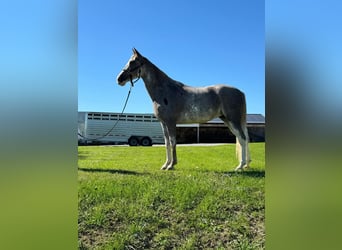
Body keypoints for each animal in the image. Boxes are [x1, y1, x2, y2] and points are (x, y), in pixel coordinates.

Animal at [116, 47, 250, 171]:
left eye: (132, 62)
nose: (119, 79)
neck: (165, 90)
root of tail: (240, 92)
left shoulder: (171, 123)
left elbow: (173, 142)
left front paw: (171, 165)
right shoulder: (163, 124)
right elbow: (167, 143)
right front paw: (165, 165)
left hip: (233, 120)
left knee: (243, 138)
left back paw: (240, 166)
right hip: (227, 120)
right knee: (241, 138)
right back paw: (245, 164)